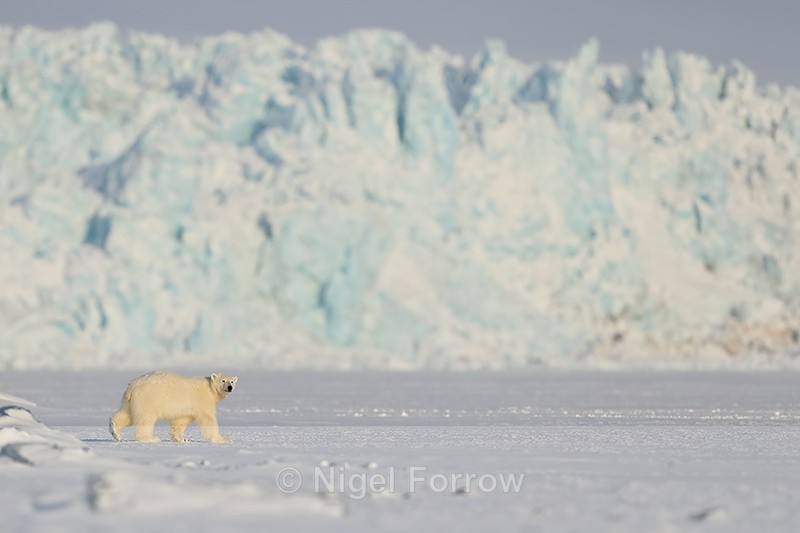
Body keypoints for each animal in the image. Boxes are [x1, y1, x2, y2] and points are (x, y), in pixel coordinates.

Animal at [109, 371, 238, 443]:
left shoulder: (186, 408)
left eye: (232, 381)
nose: (230, 387)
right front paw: (223, 439)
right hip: (149, 398)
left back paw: (115, 431)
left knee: (127, 415)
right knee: (145, 418)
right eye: (223, 380)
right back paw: (151, 438)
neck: (210, 389)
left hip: (132, 401)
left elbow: (181, 420)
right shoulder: (202, 400)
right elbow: (208, 419)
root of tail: (132, 386)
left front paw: (182, 439)